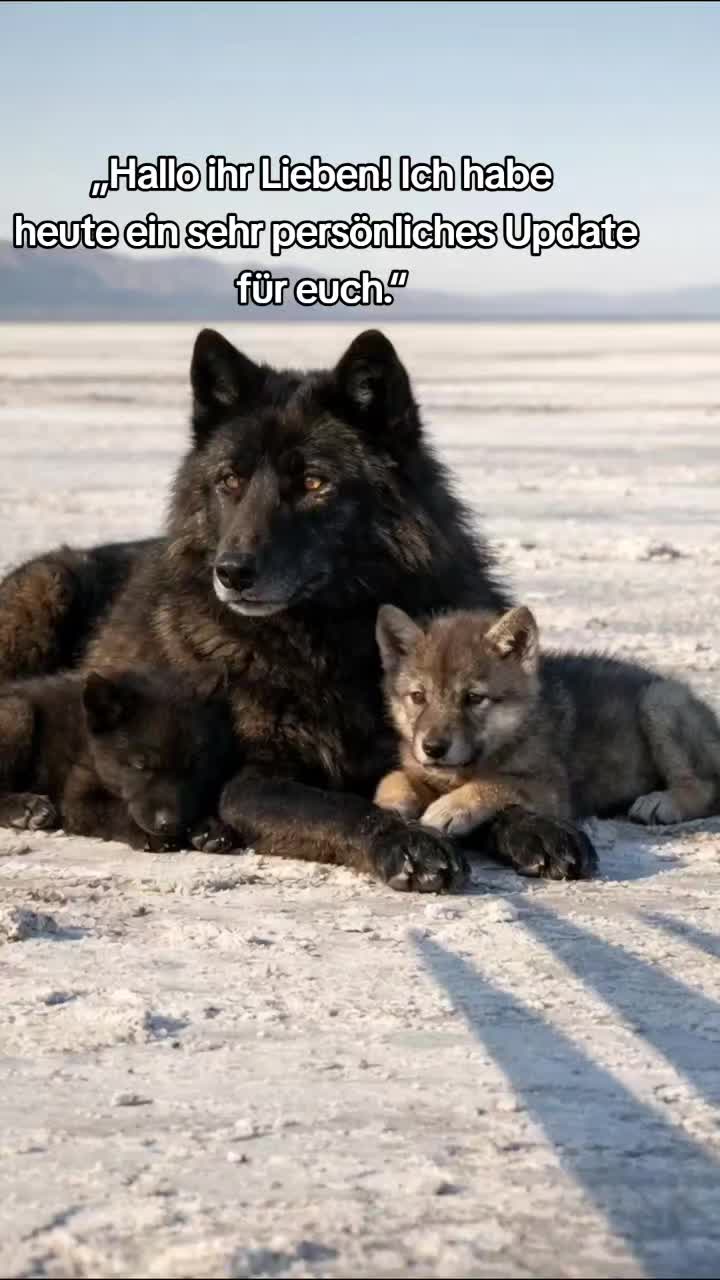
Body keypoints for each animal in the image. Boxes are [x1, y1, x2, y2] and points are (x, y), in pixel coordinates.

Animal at [0, 669, 238, 851]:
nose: (169, 825)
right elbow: (114, 810)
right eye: (139, 765)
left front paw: (209, 828)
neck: (90, 745)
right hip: (17, 711)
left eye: (195, 767)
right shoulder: (77, 800)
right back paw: (26, 808)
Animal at [375, 604, 720, 858]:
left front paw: (451, 808)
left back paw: (662, 803)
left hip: (658, 700)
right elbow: (395, 776)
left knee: (706, 787)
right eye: (418, 697)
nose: (432, 748)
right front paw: (390, 802)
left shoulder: (550, 790)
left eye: (474, 698)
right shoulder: (422, 769)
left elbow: (496, 783)